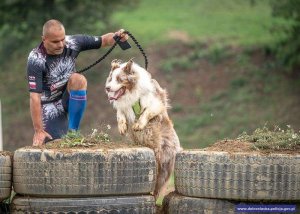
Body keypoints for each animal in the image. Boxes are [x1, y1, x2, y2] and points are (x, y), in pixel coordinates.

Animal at [104, 58, 182, 199]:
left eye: (119, 79)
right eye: (110, 79)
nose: (107, 88)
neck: (132, 94)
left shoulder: (157, 103)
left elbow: (147, 112)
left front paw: (139, 125)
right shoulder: (124, 106)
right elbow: (120, 113)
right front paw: (122, 126)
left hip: (164, 167)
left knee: (157, 187)